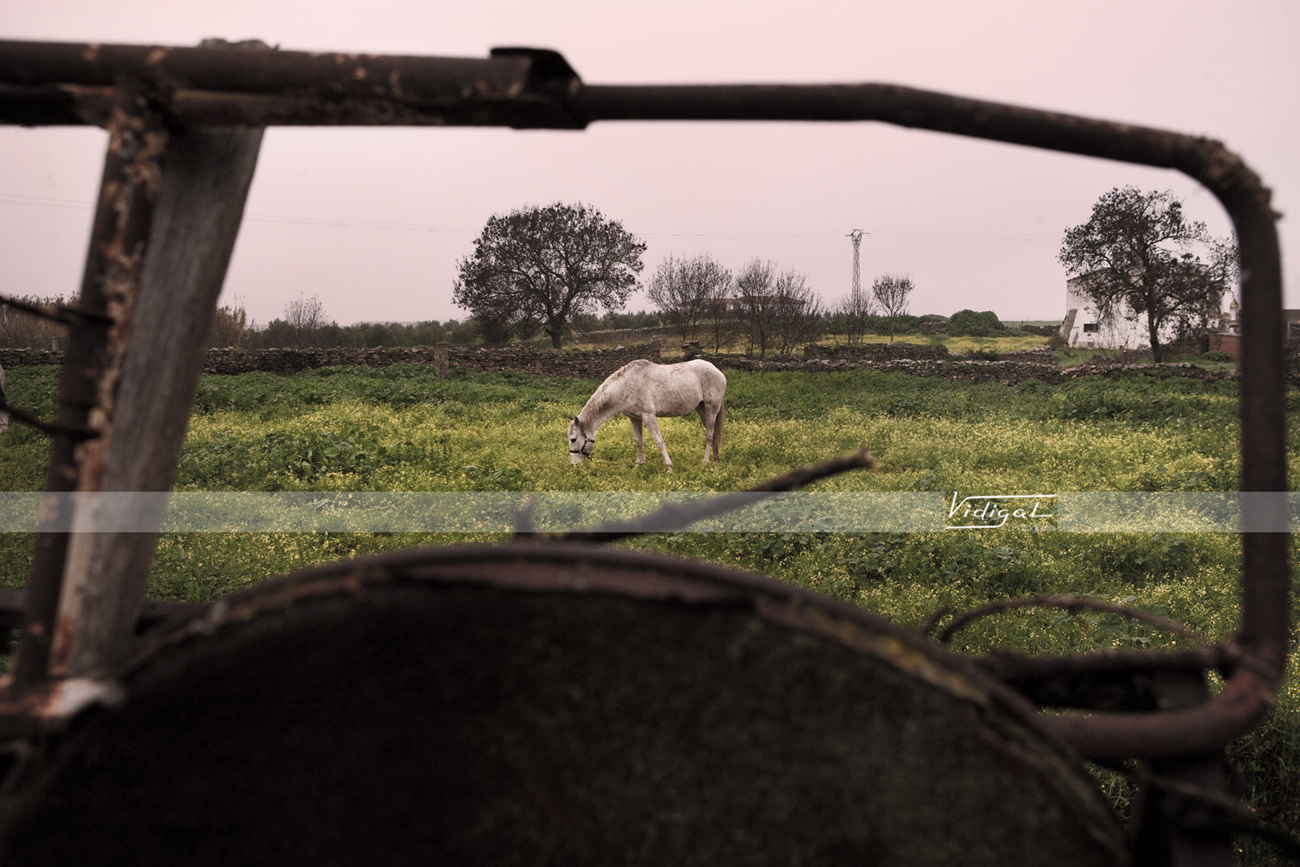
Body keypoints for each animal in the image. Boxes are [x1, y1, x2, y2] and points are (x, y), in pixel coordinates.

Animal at [566, 358, 722, 475]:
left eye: (573, 439)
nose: (573, 465)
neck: (626, 387)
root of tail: (716, 370)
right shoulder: (634, 418)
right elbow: (638, 441)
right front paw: (639, 465)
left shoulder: (649, 416)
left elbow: (659, 442)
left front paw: (669, 468)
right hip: (701, 409)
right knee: (713, 434)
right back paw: (715, 459)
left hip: (711, 408)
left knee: (709, 435)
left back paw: (705, 462)